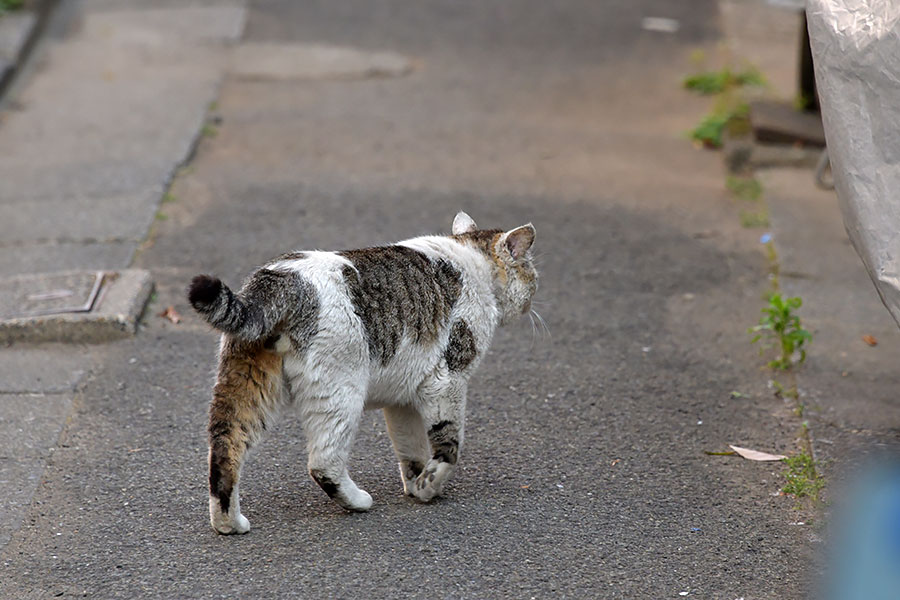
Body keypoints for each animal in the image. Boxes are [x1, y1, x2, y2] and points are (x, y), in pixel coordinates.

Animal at [185, 211, 536, 536]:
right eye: (532, 273)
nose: (533, 298)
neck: (471, 256)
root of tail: (279, 279)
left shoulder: (402, 399)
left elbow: (411, 449)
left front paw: (416, 484)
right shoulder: (446, 381)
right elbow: (447, 445)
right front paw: (430, 486)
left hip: (246, 386)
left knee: (225, 449)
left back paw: (228, 523)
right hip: (340, 393)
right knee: (324, 462)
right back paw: (357, 501)